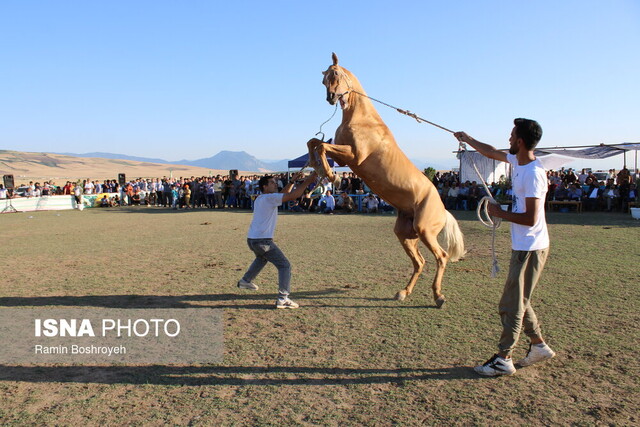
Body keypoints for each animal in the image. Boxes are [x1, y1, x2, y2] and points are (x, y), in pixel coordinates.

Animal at [306, 53, 462, 308]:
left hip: (426, 231)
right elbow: (314, 143)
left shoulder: (354, 156)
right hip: (406, 233)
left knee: (442, 257)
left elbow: (321, 146)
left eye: (335, 74)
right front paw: (320, 169)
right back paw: (403, 293)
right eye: (323, 79)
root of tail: (444, 210)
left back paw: (439, 297)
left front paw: (332, 177)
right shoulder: (343, 155)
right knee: (420, 262)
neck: (363, 120)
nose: (330, 98)